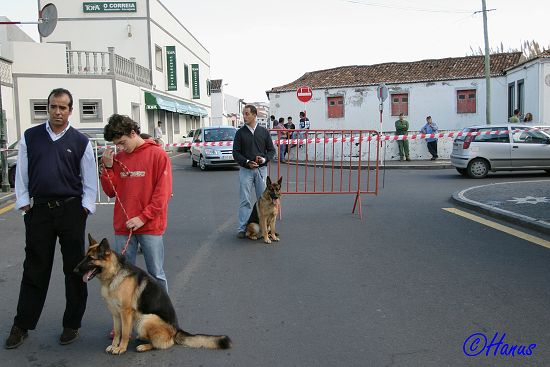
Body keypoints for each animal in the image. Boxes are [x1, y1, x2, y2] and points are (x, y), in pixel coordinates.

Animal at [74, 234, 233, 356]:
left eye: (91, 258)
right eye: (84, 257)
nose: (74, 270)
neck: (114, 275)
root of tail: (176, 330)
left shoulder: (125, 312)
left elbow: (124, 333)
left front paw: (121, 348)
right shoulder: (115, 313)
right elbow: (118, 332)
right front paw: (114, 345)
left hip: (146, 319)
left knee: (164, 344)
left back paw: (144, 346)